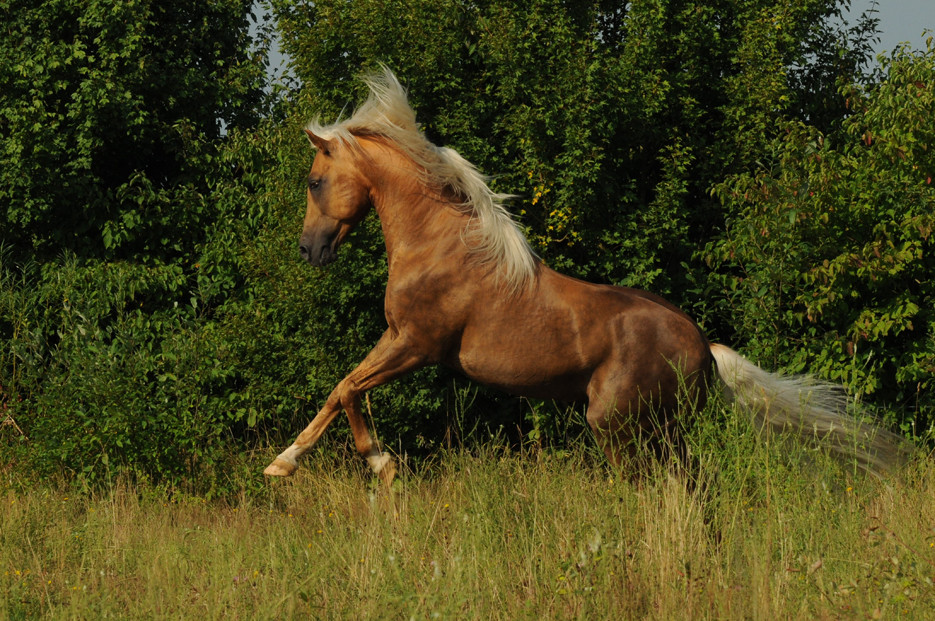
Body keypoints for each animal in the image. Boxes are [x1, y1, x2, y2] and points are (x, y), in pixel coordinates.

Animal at [262, 69, 900, 480]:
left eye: (314, 181)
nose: (308, 250)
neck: (438, 246)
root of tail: (706, 349)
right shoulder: (399, 342)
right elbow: (340, 390)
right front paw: (287, 463)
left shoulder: (415, 343)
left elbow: (348, 388)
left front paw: (374, 463)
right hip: (662, 430)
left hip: (619, 427)